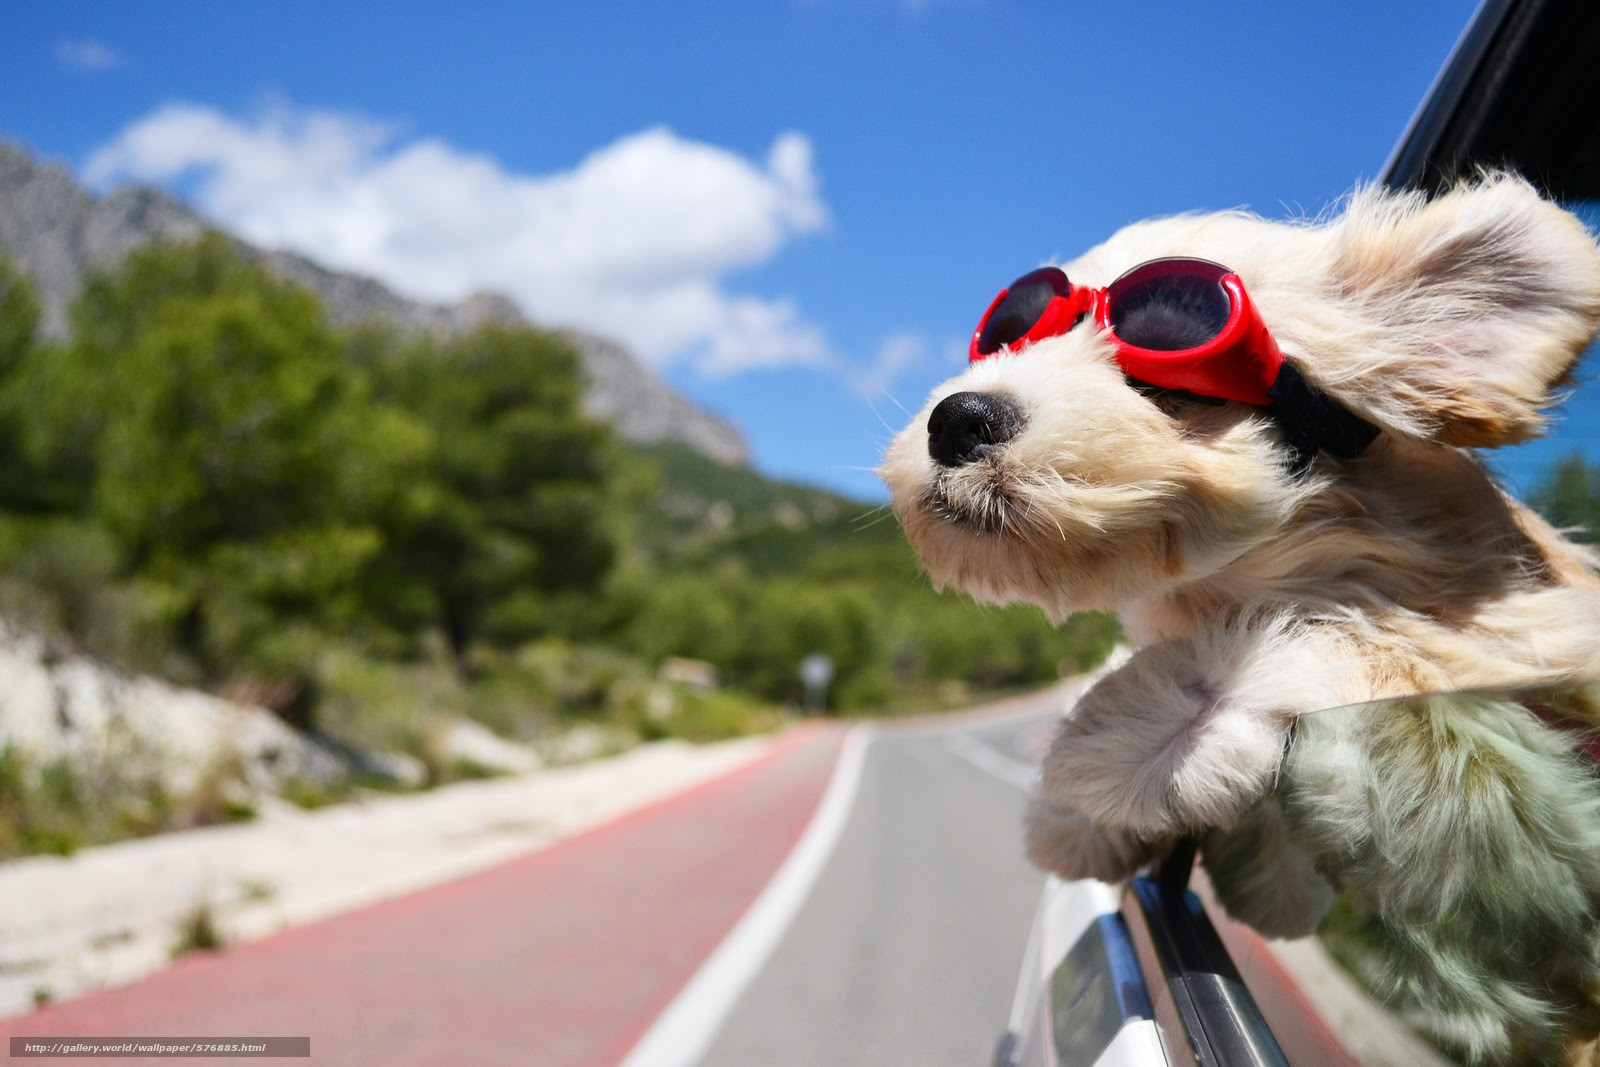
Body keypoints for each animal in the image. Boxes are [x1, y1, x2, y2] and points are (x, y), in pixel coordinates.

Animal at [883, 175, 1600, 1062]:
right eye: (1007, 336)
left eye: (1168, 376)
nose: (958, 418)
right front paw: (1080, 812)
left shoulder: (1525, 645)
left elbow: (1374, 644)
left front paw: (1137, 735)